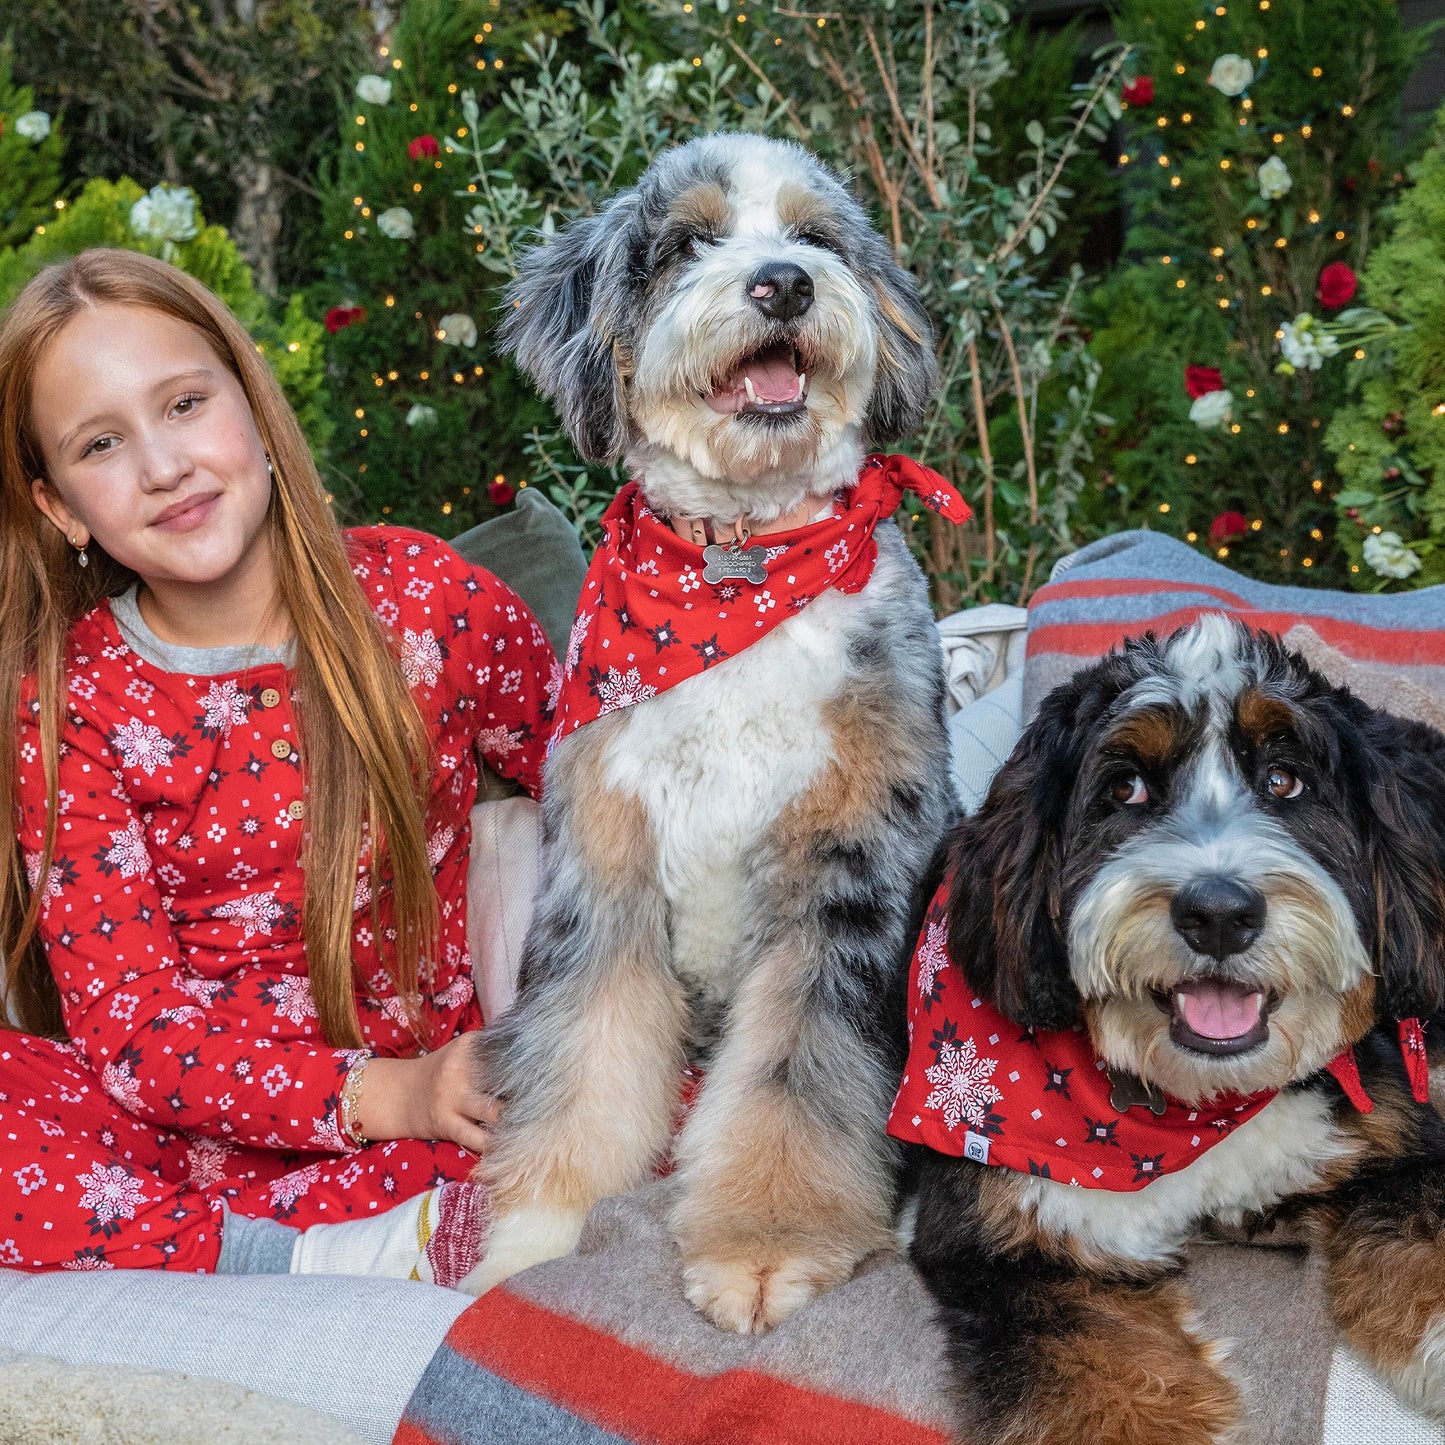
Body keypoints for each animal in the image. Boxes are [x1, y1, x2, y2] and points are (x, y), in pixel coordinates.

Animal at [895, 615, 1445, 1445]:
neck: (1197, 1105)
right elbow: (1093, 1370)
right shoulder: (1009, 1241)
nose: (1218, 912)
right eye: (1124, 788)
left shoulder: (1395, 1136)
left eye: (1283, 780)